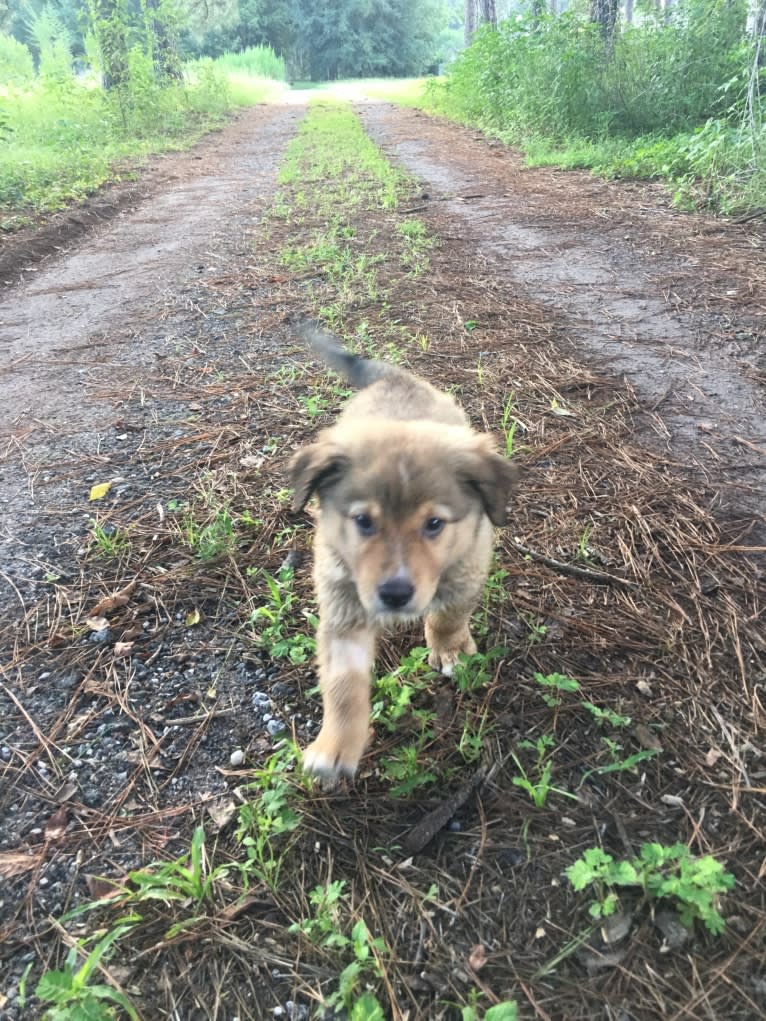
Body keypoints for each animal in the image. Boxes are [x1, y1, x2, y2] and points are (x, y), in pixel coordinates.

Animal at [290, 326, 518, 780]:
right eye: (363, 521)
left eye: (434, 524)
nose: (395, 595)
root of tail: (395, 378)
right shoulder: (344, 608)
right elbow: (343, 686)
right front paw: (335, 746)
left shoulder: (467, 568)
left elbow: (448, 617)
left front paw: (449, 649)